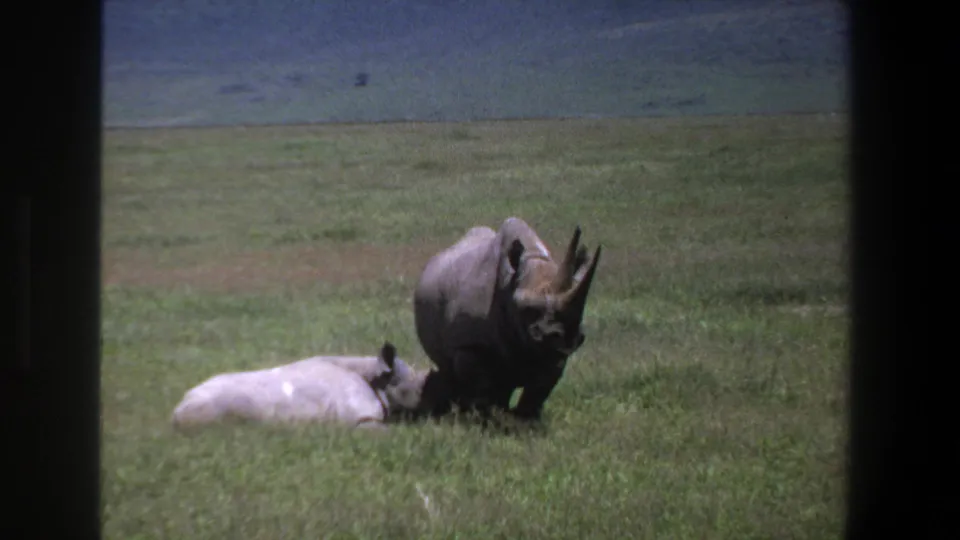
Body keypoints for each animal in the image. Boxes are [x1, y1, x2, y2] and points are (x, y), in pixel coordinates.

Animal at [413, 217, 602, 422]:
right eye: (527, 310)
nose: (566, 337)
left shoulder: (554, 353)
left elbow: (539, 389)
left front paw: (526, 422)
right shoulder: (468, 344)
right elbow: (482, 388)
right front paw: (485, 420)